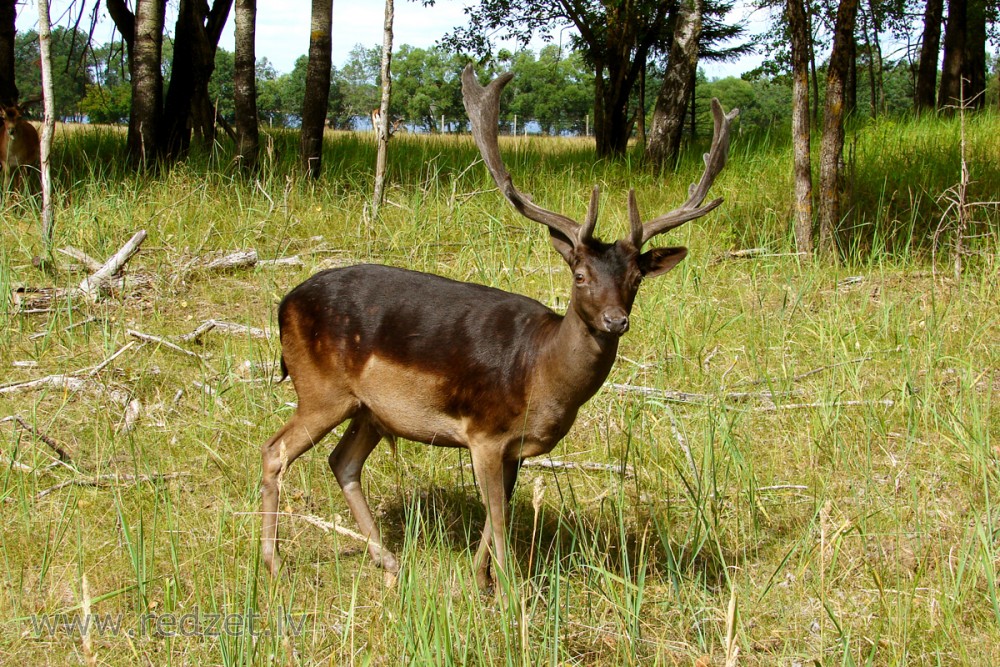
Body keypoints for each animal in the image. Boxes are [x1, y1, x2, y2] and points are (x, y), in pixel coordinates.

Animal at [262, 65, 740, 592]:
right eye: (580, 274)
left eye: (636, 278)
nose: (617, 320)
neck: (541, 375)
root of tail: (283, 303)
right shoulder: (485, 433)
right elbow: (499, 515)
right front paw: (511, 594)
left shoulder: (516, 448)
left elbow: (498, 514)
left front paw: (481, 581)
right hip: (320, 389)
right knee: (274, 452)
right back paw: (274, 563)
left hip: (370, 409)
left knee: (342, 462)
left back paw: (388, 561)